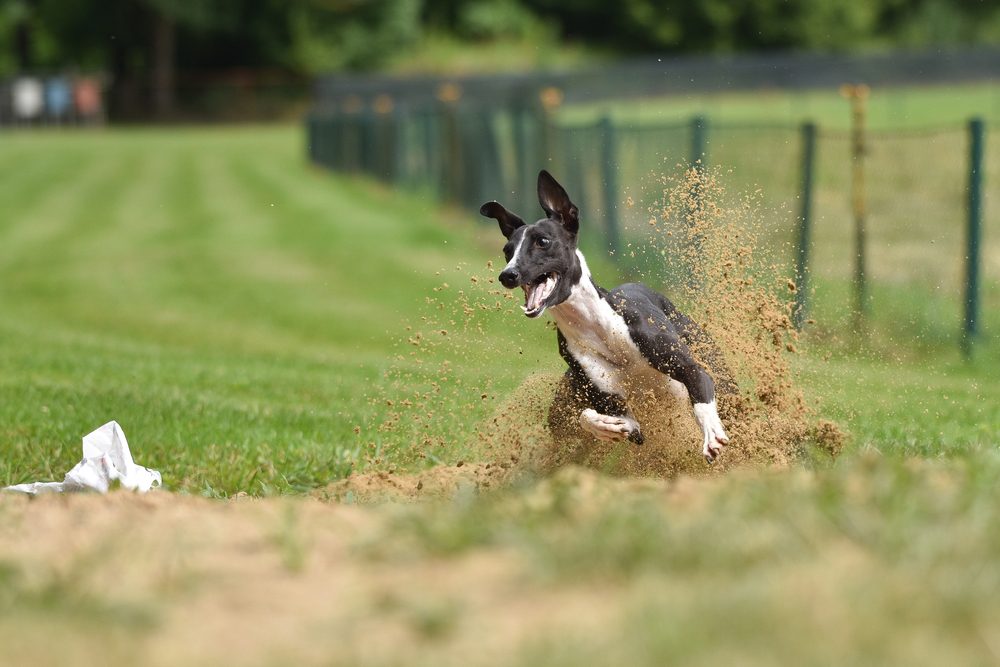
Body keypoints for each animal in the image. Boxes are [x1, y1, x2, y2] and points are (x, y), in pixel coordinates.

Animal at [480, 170, 732, 462]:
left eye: (542, 241)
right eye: (507, 251)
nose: (508, 275)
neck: (596, 327)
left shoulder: (690, 368)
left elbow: (701, 394)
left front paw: (711, 435)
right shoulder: (614, 406)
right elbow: (599, 419)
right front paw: (606, 425)